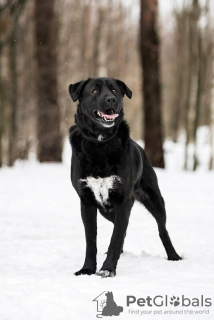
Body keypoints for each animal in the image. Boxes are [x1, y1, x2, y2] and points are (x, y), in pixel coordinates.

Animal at [68, 77, 181, 278]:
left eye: (115, 90)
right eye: (95, 91)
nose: (111, 99)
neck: (100, 143)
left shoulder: (123, 201)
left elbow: (116, 237)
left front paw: (107, 269)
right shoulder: (87, 202)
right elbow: (91, 241)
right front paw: (87, 269)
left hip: (155, 201)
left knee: (162, 230)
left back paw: (174, 256)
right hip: (106, 210)